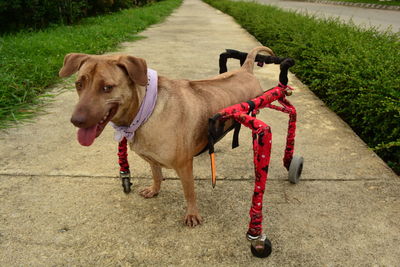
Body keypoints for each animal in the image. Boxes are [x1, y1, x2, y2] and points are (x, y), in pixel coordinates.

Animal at [59, 46, 276, 228]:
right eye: (79, 84)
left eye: (107, 87)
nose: (76, 121)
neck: (145, 111)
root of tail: (245, 69)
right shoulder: (152, 158)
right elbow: (157, 175)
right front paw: (154, 190)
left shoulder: (184, 165)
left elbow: (189, 191)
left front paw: (192, 214)